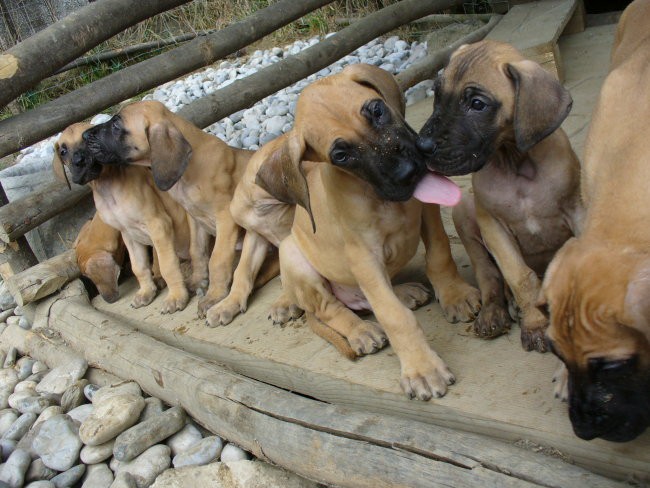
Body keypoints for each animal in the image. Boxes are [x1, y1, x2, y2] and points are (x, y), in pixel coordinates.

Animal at [52, 122, 194, 312]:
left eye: (85, 138)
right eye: (63, 151)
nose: (79, 161)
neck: (107, 188)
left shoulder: (158, 225)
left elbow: (167, 265)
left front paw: (176, 296)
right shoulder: (129, 235)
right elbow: (138, 267)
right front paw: (146, 292)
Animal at [85, 101, 256, 318]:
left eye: (116, 124)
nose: (85, 136)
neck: (191, 169)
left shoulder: (225, 217)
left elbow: (217, 258)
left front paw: (214, 296)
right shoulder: (195, 219)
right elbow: (197, 251)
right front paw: (198, 281)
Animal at [253, 63, 480, 400]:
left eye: (377, 110)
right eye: (341, 155)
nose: (409, 173)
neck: (379, 198)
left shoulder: (428, 212)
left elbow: (440, 254)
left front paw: (455, 294)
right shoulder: (364, 258)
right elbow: (392, 315)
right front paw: (422, 369)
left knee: (370, 298)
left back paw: (404, 292)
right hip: (293, 255)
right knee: (332, 308)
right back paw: (361, 331)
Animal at [416, 41, 584, 350]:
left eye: (477, 104)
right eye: (438, 95)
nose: (422, 146)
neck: (515, 162)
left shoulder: (577, 211)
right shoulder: (494, 228)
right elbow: (520, 277)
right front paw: (535, 325)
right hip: (464, 213)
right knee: (491, 279)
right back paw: (494, 313)